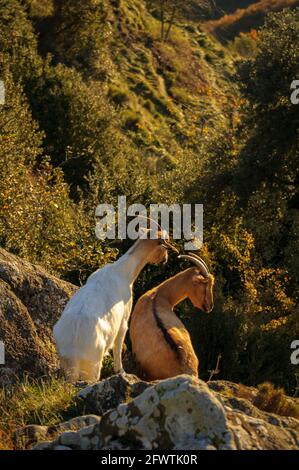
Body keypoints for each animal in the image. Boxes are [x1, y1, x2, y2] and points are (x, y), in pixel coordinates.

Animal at [53, 231, 178, 382]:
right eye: (164, 245)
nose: (165, 259)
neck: (123, 271)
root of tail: (73, 349)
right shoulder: (123, 321)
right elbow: (118, 347)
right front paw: (121, 371)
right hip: (93, 366)